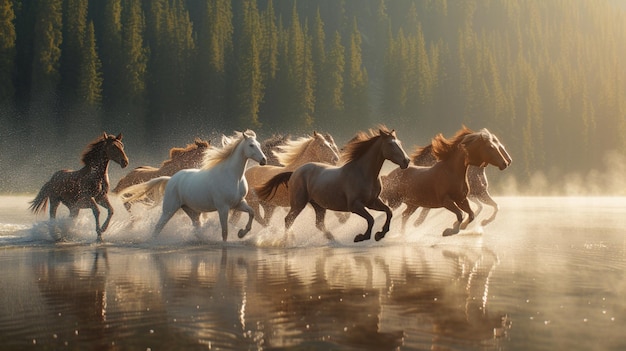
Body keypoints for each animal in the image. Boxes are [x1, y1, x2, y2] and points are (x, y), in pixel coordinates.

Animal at [119, 129, 266, 242]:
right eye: (251, 145)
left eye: (258, 144)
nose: (264, 160)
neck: (233, 176)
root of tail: (171, 179)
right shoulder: (223, 207)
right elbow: (224, 232)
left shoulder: (238, 203)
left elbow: (252, 213)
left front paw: (241, 233)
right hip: (169, 209)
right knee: (158, 227)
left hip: (191, 211)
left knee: (197, 227)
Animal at [254, 127, 410, 245]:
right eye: (391, 144)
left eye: (400, 143)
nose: (406, 161)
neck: (363, 173)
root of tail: (294, 172)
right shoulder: (355, 205)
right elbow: (371, 219)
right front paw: (361, 237)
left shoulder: (372, 202)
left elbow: (389, 211)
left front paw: (380, 234)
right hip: (298, 203)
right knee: (288, 220)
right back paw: (286, 242)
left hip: (318, 205)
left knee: (319, 224)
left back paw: (333, 239)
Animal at [378, 126, 510, 236]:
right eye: (491, 147)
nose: (505, 163)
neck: (452, 172)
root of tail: (389, 175)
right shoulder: (446, 201)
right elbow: (461, 214)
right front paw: (450, 230)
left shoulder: (462, 199)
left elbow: (471, 214)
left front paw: (460, 227)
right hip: (395, 201)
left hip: (412, 204)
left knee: (404, 216)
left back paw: (402, 235)